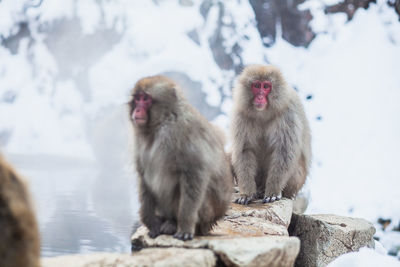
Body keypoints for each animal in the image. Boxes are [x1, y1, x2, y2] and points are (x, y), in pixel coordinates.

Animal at [130, 75, 233, 241]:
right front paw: (151, 222)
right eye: (138, 98)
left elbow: (194, 174)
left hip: (207, 213)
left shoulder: (184, 132)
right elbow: (144, 176)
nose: (137, 109)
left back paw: (174, 223)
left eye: (146, 99)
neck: (164, 121)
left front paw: (185, 227)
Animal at [231, 65, 312, 205]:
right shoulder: (240, 114)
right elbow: (244, 150)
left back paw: (264, 190)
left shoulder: (288, 114)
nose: (260, 97)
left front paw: (273, 192)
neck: (263, 113)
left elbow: (284, 152)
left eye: (266, 86)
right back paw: (256, 190)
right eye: (256, 85)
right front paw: (246, 194)